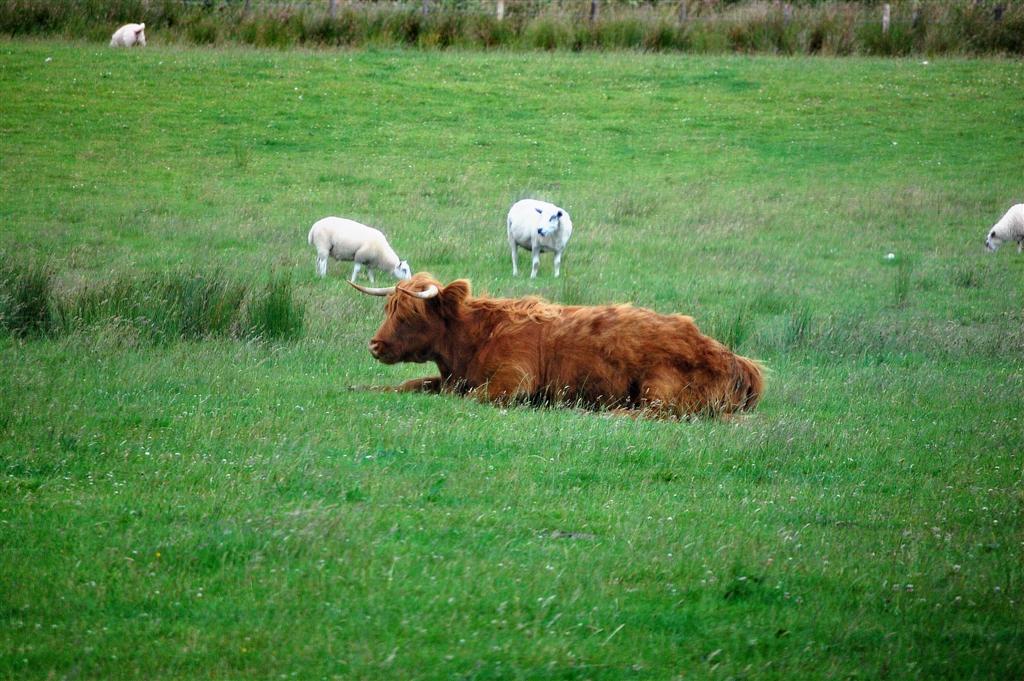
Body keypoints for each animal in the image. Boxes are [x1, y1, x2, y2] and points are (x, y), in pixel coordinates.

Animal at [352, 274, 761, 417]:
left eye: (409, 314)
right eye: (389, 308)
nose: (374, 345)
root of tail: (736, 359)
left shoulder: (512, 382)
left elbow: (469, 398)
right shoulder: (452, 379)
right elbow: (413, 384)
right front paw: (359, 386)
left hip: (657, 390)